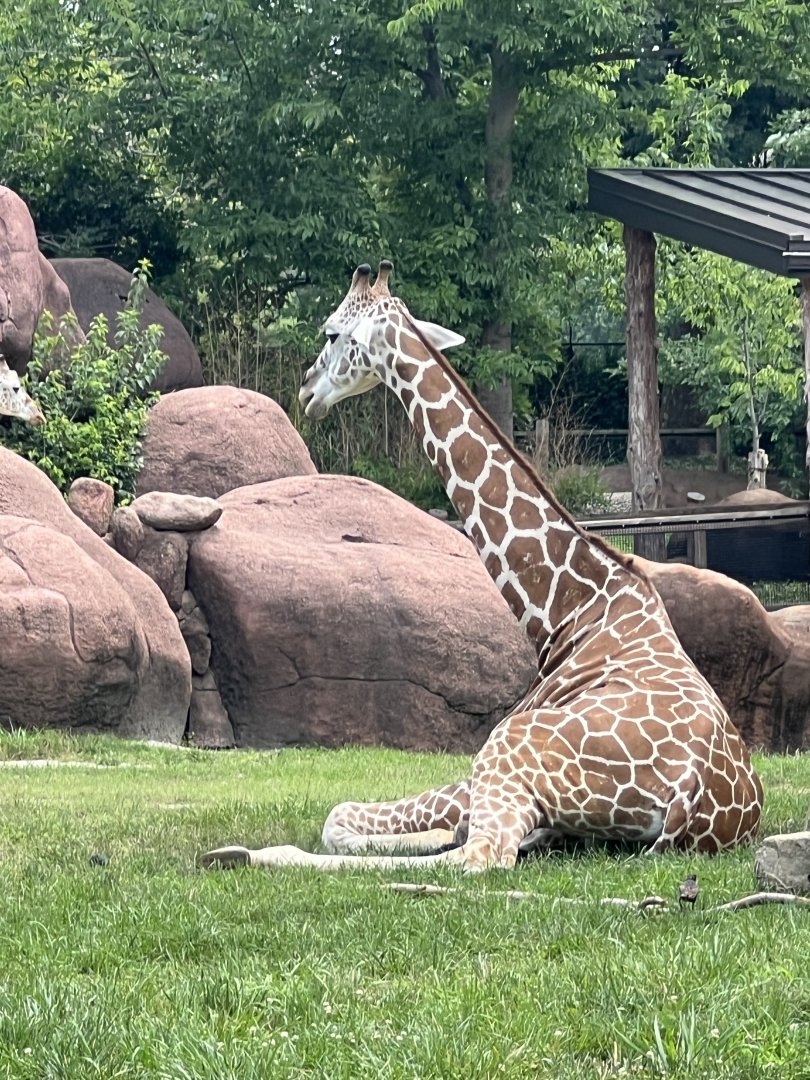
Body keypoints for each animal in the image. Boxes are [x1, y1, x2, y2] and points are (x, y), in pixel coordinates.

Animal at [200, 261, 763, 874]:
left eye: (331, 333)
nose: (306, 390)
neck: (567, 611)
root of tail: (695, 802)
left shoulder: (483, 760)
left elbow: (338, 816)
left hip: (511, 748)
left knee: (479, 856)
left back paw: (245, 851)